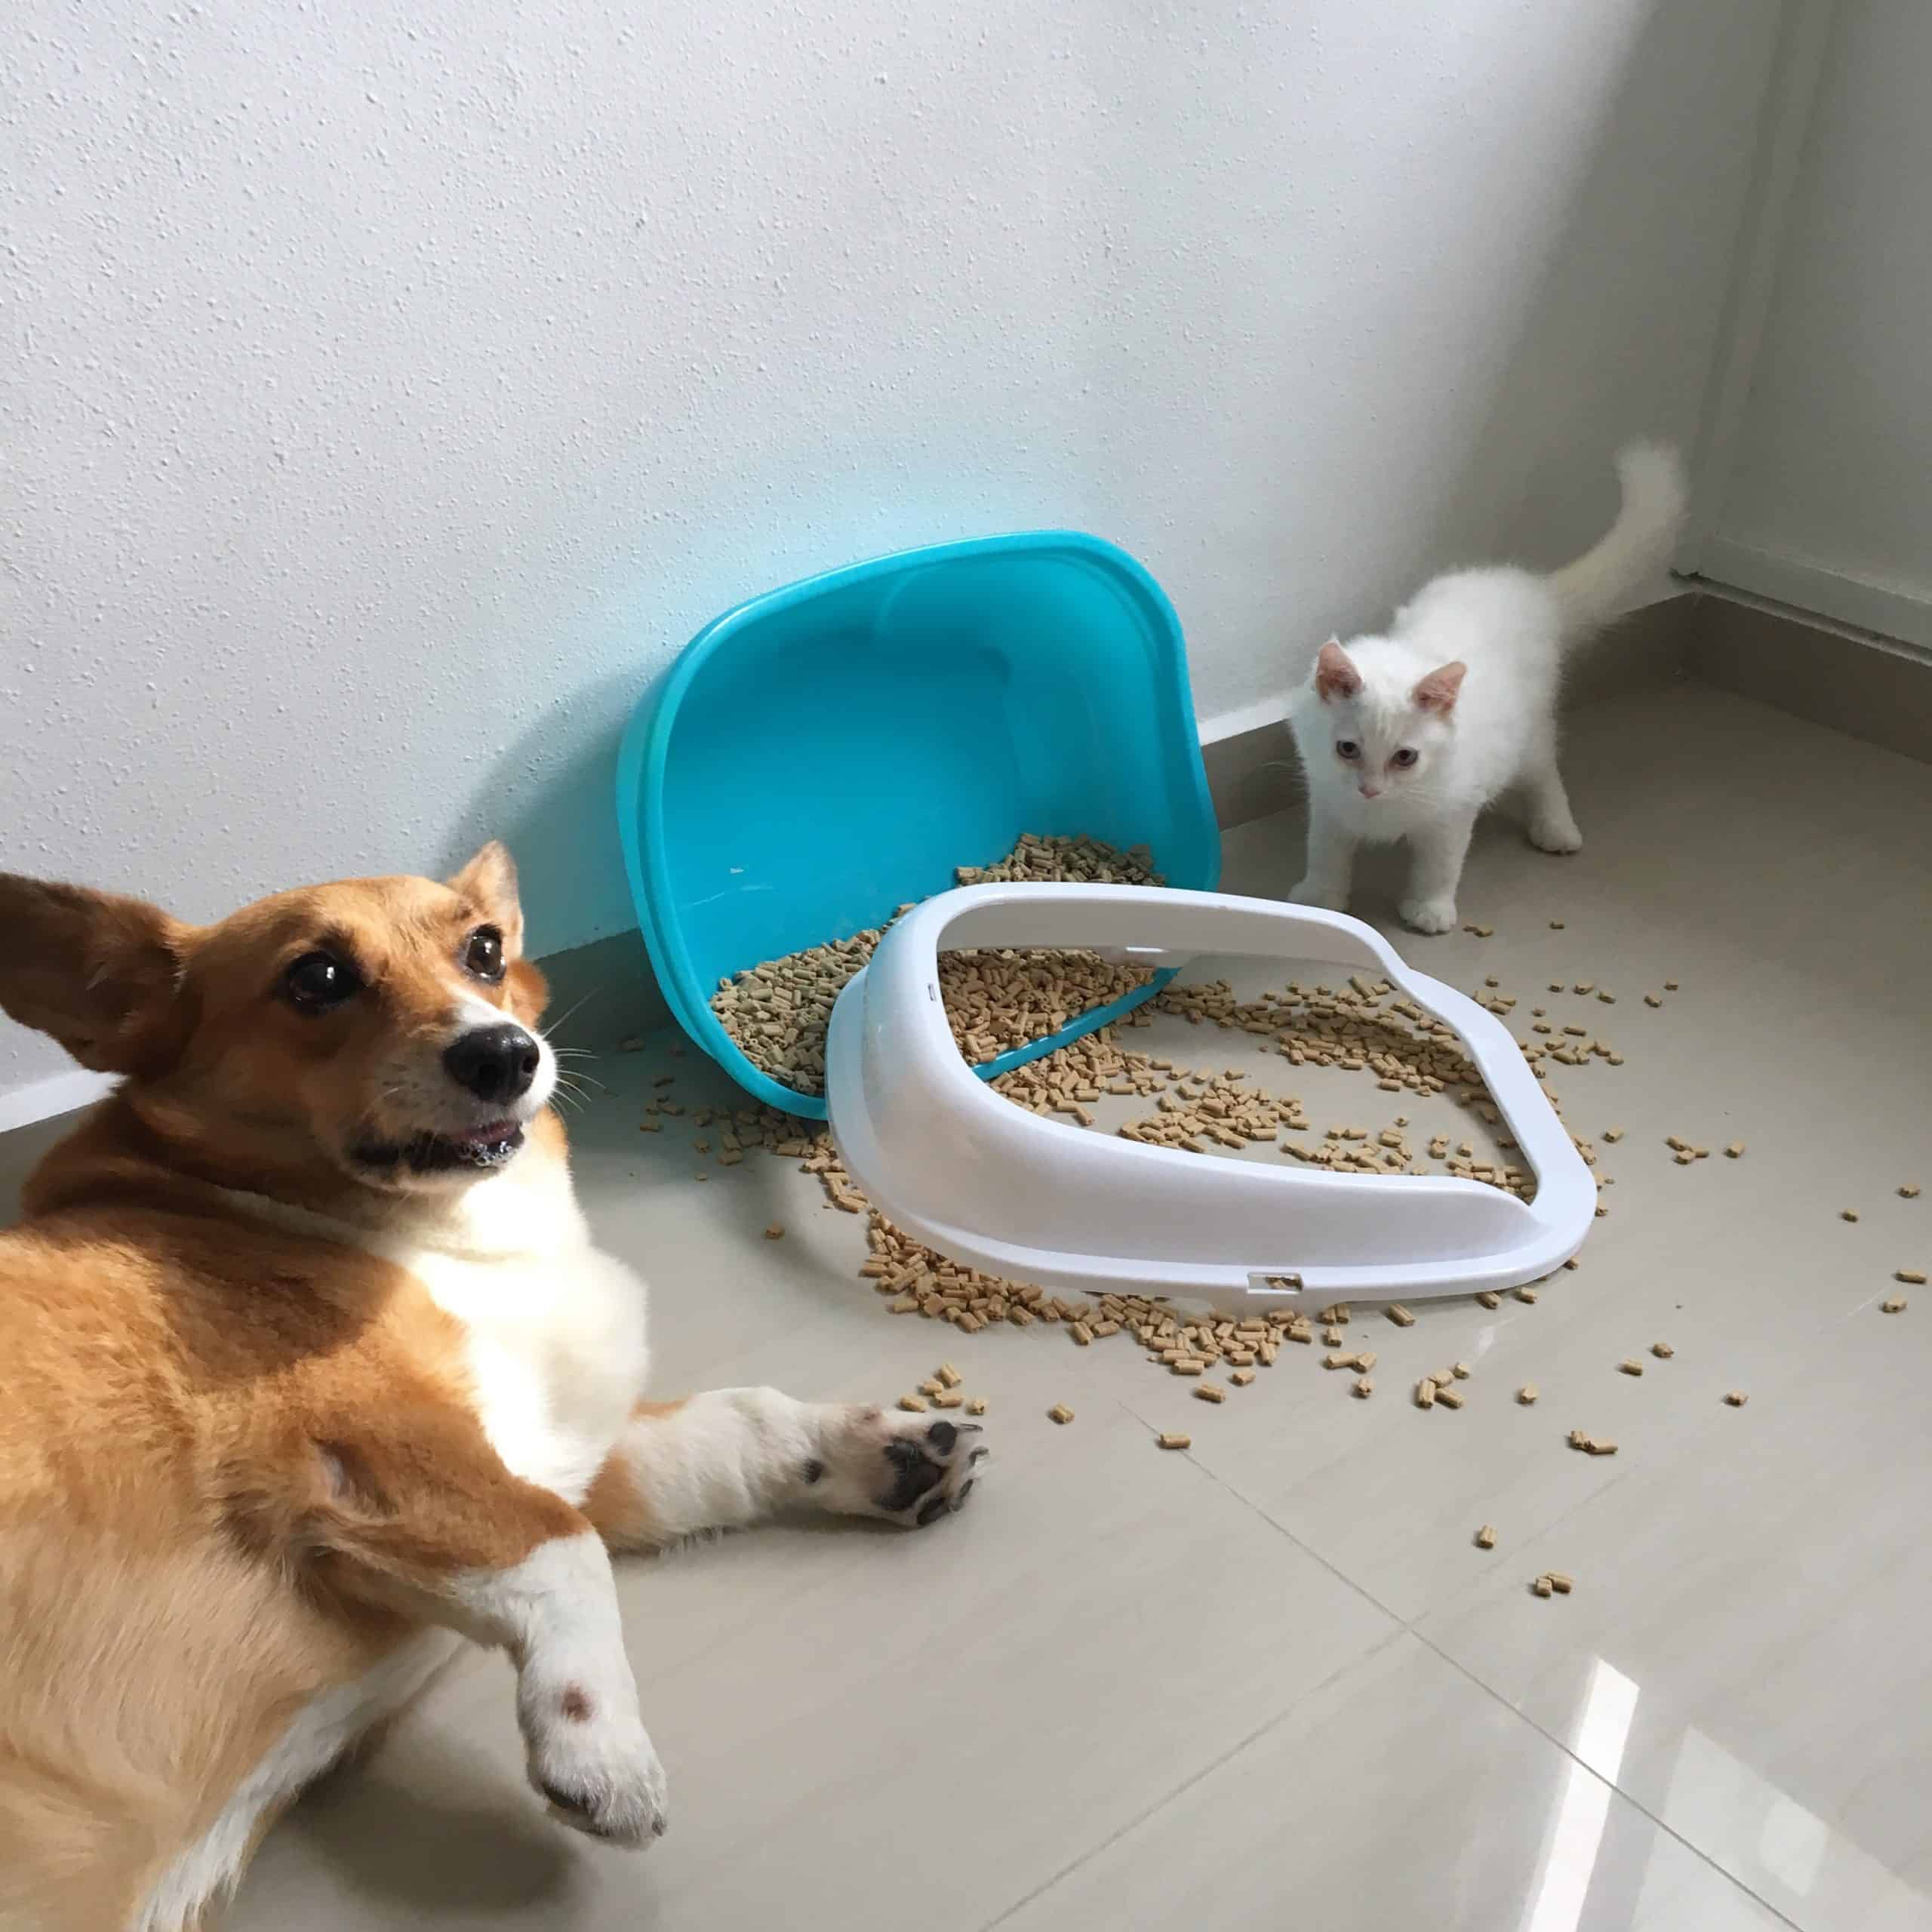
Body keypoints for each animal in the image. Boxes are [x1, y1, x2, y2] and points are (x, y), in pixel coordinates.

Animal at [0, 850, 981, 1932]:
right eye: (318, 977)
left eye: (483, 950)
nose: (507, 1055)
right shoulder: (387, 1451)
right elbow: (568, 1552)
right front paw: (601, 1750)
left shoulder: (565, 1448)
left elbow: (731, 1427)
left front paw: (881, 1449)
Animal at [1291, 446, 1684, 943]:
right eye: (1347, 749)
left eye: (1406, 757)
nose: (1370, 790)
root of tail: (1530, 588)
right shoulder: (1326, 797)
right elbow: (1324, 851)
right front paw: (1320, 898)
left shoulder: (1454, 807)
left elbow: (1440, 865)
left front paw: (1429, 909)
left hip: (1528, 732)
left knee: (1544, 774)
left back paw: (1557, 828)